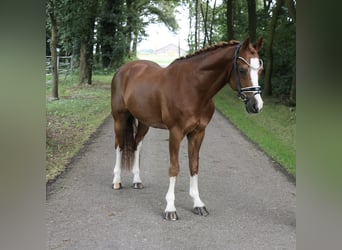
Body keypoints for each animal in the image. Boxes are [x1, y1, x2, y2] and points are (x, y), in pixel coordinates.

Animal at [111, 36, 264, 220]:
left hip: (144, 121)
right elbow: (174, 167)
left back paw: (137, 180)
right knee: (119, 146)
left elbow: (194, 165)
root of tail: (123, 70)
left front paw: (198, 204)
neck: (193, 89)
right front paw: (170, 208)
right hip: (119, 118)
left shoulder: (198, 133)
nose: (256, 105)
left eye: (260, 70)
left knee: (136, 144)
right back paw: (116, 181)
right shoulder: (176, 132)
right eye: (242, 70)